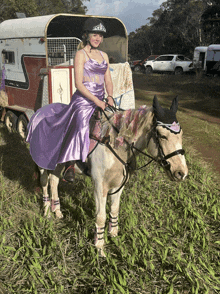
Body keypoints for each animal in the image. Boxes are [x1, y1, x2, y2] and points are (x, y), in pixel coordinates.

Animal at [37, 96, 187, 255]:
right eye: (162, 135)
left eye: (181, 135)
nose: (181, 173)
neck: (114, 144)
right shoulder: (99, 186)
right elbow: (100, 216)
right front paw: (99, 247)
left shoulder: (118, 185)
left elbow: (114, 209)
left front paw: (113, 234)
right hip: (43, 162)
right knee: (45, 182)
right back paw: (47, 212)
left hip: (58, 164)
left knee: (54, 181)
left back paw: (57, 211)